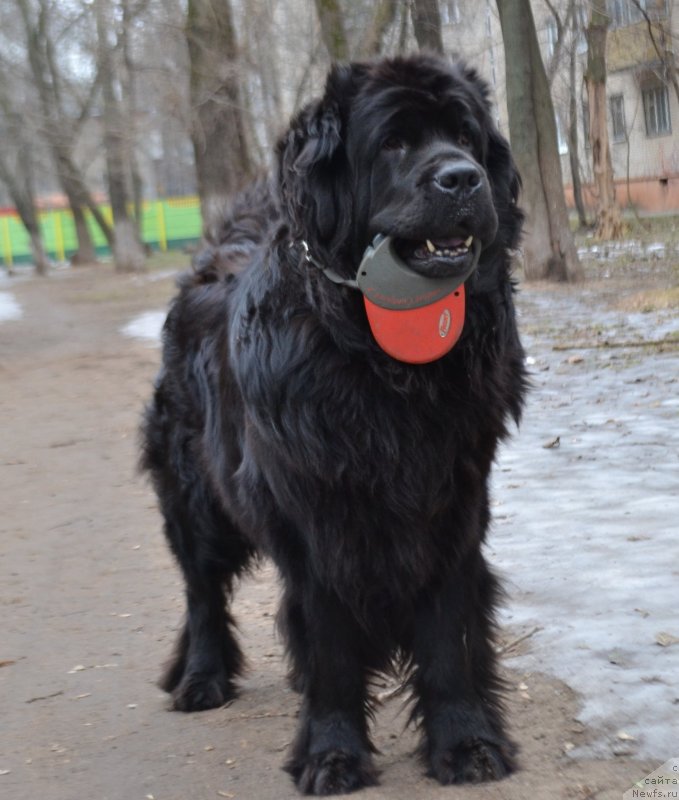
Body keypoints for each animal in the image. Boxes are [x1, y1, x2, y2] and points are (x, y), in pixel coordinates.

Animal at [141, 54, 528, 792]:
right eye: (394, 143)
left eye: (466, 137)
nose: (461, 177)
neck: (380, 364)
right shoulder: (317, 519)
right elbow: (330, 648)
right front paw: (332, 753)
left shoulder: (450, 505)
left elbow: (448, 640)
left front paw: (466, 743)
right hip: (193, 493)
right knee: (201, 589)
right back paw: (201, 678)